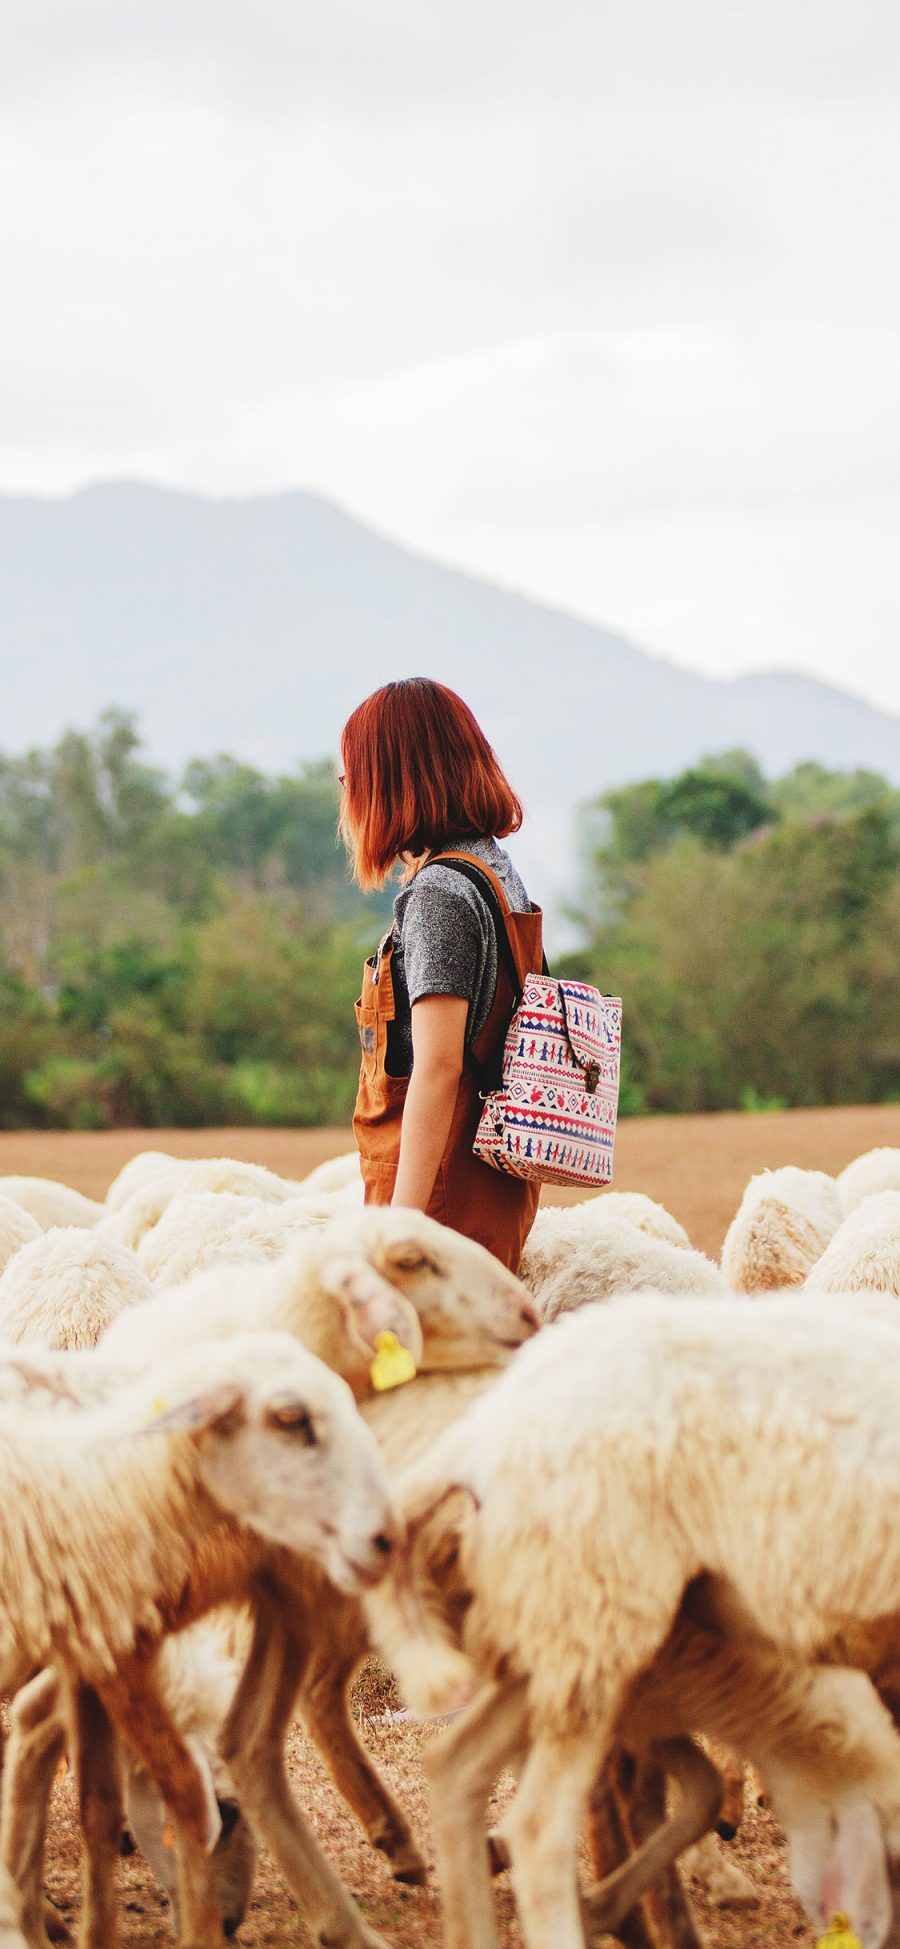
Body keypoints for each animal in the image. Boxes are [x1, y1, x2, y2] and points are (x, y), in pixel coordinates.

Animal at [364, 1294, 900, 1949]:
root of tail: (481, 1432)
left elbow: (696, 1791)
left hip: (566, 1632)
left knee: (456, 1767)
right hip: (596, 1615)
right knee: (537, 1829)